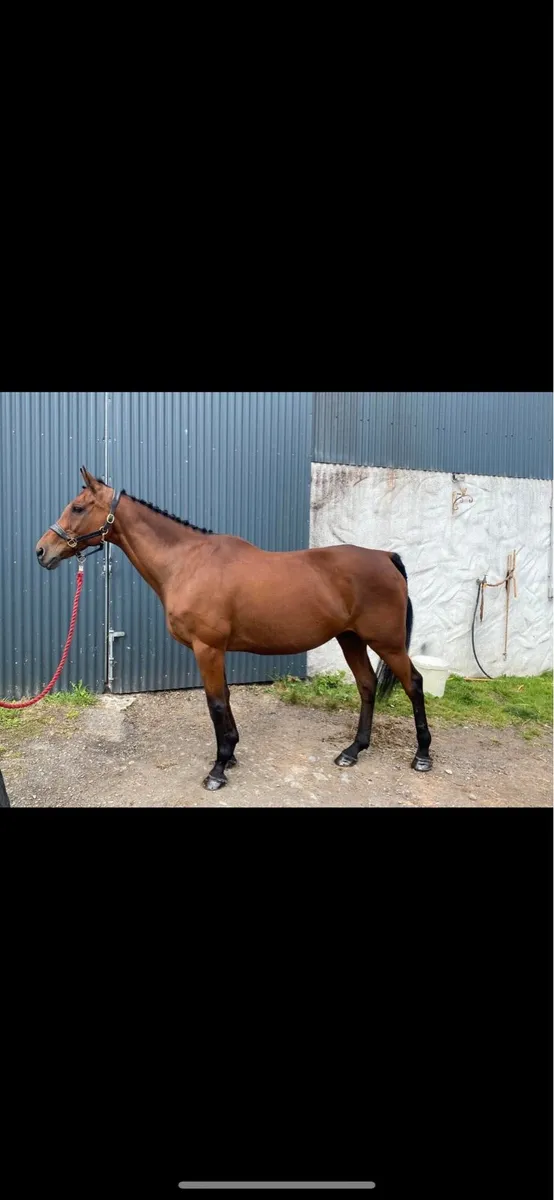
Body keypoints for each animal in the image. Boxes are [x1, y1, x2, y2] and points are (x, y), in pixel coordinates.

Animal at [36, 467, 432, 794]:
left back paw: (422, 756)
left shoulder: (207, 648)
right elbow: (224, 699)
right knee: (366, 686)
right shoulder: (216, 651)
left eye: (77, 507)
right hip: (351, 639)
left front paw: (218, 769)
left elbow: (215, 703)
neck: (188, 562)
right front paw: (232, 755)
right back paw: (352, 751)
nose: (42, 551)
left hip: (387, 643)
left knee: (413, 684)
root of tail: (385, 557)